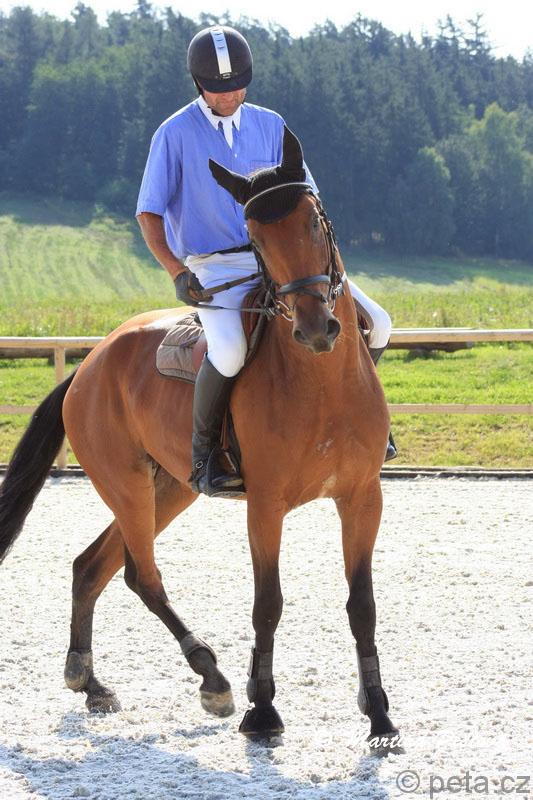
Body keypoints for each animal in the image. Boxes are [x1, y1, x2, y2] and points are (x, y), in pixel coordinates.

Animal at [0, 126, 399, 746]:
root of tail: (90, 362)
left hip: (169, 488)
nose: (316, 328)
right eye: (256, 237)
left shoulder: (362, 497)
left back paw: (90, 683)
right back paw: (211, 676)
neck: (321, 381)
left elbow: (363, 604)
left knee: (92, 566)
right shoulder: (265, 504)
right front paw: (263, 712)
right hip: (127, 485)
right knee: (141, 574)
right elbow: (268, 603)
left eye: (313, 220)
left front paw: (378, 712)